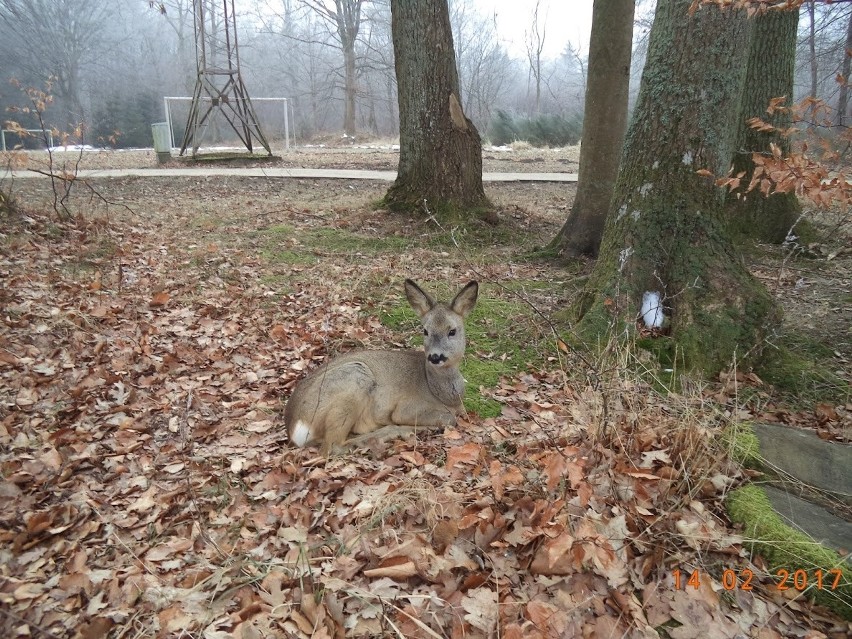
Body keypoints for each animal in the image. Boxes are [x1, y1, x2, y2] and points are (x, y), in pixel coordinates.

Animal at [282, 278, 476, 450]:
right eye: (425, 330)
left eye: (452, 331)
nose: (435, 356)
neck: (444, 396)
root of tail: (294, 429)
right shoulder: (405, 408)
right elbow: (450, 419)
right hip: (354, 375)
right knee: (332, 447)